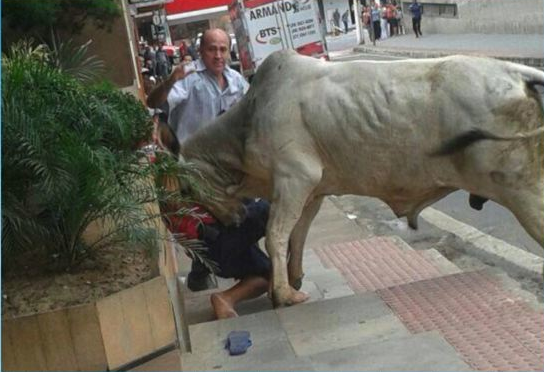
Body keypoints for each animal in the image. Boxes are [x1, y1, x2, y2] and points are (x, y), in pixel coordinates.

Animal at [162, 51, 544, 308]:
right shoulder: (312, 191)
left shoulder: (295, 177)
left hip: (524, 192)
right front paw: (292, 279)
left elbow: (276, 235)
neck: (246, 124)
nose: (235, 219)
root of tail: (512, 70)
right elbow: (297, 235)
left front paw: (283, 294)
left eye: (186, 189)